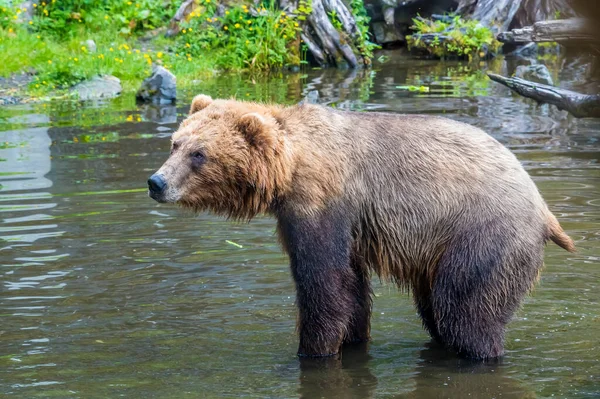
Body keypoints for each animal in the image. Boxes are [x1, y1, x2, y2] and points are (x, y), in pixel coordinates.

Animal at [148, 95, 576, 360]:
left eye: (199, 154)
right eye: (175, 143)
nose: (156, 182)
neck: (288, 169)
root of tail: (542, 207)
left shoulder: (322, 202)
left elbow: (323, 282)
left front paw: (311, 350)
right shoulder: (334, 222)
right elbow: (351, 287)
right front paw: (352, 339)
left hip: (483, 233)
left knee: (465, 311)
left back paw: (480, 351)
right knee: (436, 309)